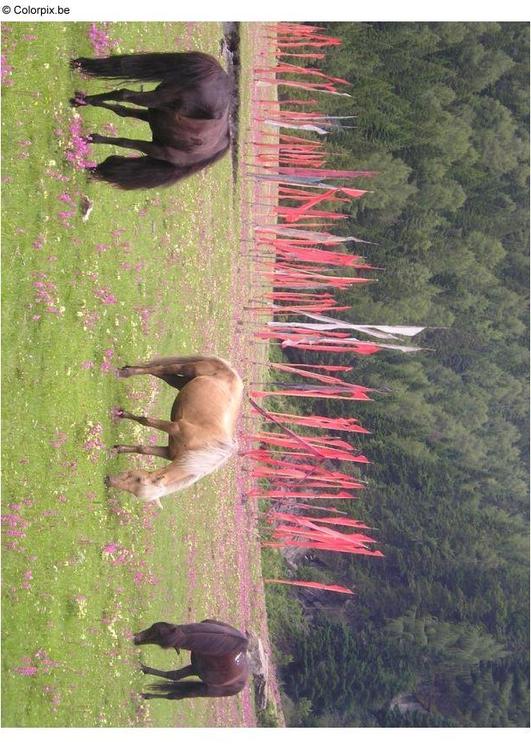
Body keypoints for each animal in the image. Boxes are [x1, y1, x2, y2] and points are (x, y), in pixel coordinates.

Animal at [68, 51, 231, 189]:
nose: (92, 170)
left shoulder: (154, 104)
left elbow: (122, 97)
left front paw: (84, 102)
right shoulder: (153, 113)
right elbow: (121, 111)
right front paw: (81, 101)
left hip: (157, 147)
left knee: (126, 134)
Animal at [107, 356, 244, 508]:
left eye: (139, 480)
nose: (108, 480)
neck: (203, 449)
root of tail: (231, 370)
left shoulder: (169, 452)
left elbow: (143, 449)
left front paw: (118, 448)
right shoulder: (174, 428)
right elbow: (146, 421)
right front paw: (122, 415)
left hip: (183, 383)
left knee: (163, 375)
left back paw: (128, 369)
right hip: (188, 369)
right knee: (163, 369)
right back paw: (126, 373)